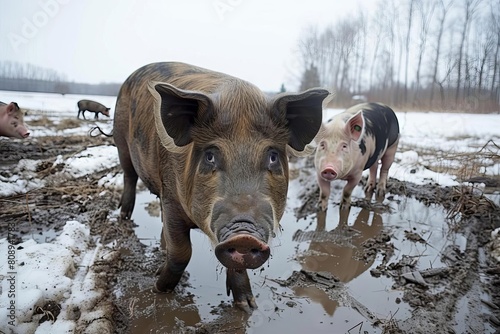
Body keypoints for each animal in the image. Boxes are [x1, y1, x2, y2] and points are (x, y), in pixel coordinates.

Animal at [114, 61, 330, 312]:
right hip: (121, 142)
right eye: (210, 156)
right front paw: (159, 289)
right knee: (129, 176)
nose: (244, 236)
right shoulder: (172, 200)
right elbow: (181, 252)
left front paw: (248, 306)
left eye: (273, 157)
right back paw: (124, 216)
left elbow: (236, 264)